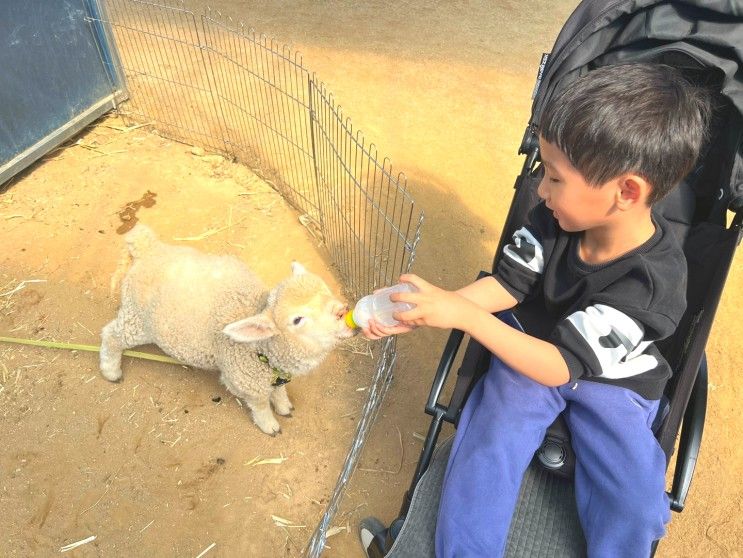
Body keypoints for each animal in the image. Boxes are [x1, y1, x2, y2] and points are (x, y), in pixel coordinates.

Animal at [99, 224, 354, 438]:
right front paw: (269, 424)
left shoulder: (275, 375)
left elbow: (279, 391)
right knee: (111, 335)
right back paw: (111, 370)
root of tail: (149, 248)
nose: (342, 311)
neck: (263, 351)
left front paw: (283, 405)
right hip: (138, 319)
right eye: (297, 319)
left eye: (325, 289)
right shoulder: (243, 381)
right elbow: (260, 404)